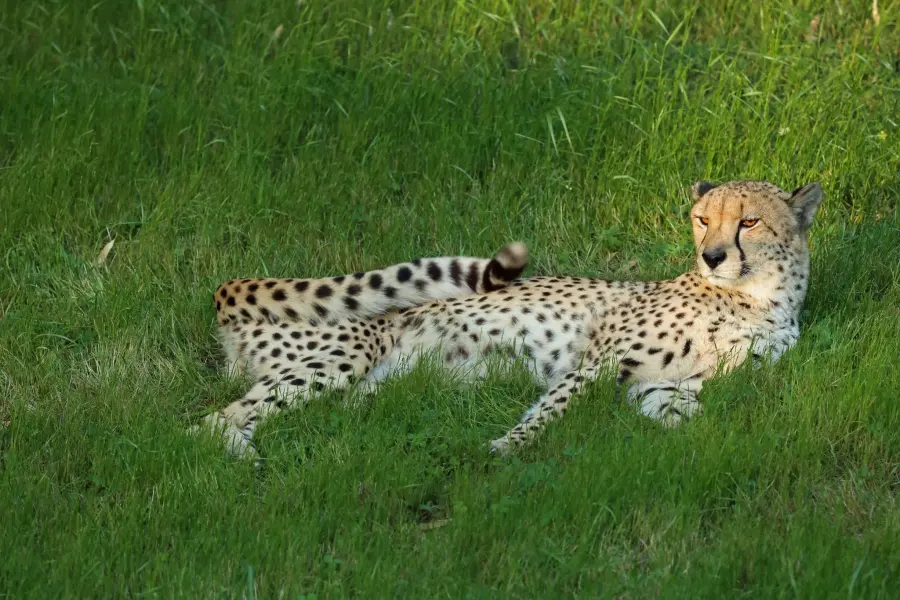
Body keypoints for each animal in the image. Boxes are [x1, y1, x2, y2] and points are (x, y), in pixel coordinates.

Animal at [192, 179, 823, 458]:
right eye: (701, 219)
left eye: (748, 222)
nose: (711, 256)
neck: (755, 299)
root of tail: (229, 293)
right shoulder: (594, 362)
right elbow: (550, 410)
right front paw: (507, 447)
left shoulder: (662, 384)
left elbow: (682, 415)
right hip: (346, 353)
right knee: (212, 421)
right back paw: (246, 462)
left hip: (369, 385)